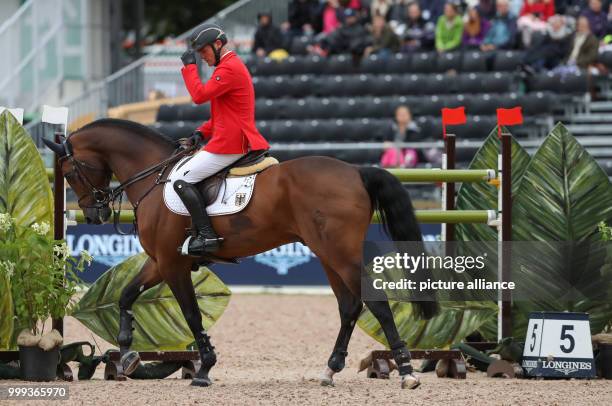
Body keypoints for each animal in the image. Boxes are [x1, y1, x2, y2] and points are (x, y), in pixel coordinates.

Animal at [44, 119, 436, 388]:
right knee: (350, 306)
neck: (155, 177)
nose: (94, 214)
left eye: (70, 171)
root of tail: (355, 170)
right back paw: (330, 368)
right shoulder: (162, 261)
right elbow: (126, 295)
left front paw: (204, 367)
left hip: (341, 254)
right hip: (328, 255)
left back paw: (405, 370)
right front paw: (126, 351)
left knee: (377, 303)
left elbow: (191, 315)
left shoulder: (172, 265)